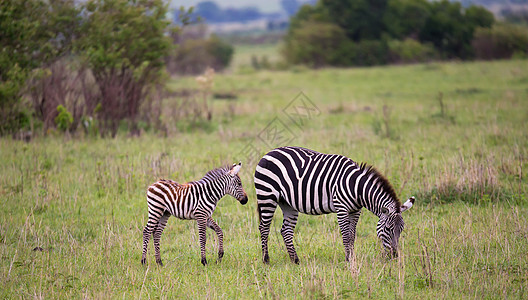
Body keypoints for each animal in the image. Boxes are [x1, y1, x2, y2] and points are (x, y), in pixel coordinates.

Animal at [254, 146, 414, 264]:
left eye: (401, 230)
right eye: (388, 229)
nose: (394, 256)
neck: (357, 188)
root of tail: (268, 153)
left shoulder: (356, 210)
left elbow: (352, 235)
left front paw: (352, 258)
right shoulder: (341, 208)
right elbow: (346, 236)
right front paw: (348, 260)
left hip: (287, 203)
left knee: (286, 230)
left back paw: (295, 260)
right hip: (267, 196)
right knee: (264, 228)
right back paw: (266, 260)